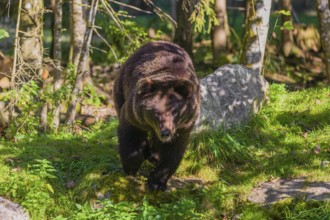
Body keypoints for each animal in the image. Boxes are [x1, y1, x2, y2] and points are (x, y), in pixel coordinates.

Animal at [113, 41, 200, 191]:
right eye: (155, 112)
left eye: (175, 111)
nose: (165, 132)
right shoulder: (135, 115)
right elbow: (130, 137)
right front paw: (131, 167)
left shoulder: (184, 126)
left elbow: (172, 152)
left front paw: (156, 182)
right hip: (121, 87)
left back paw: (153, 155)